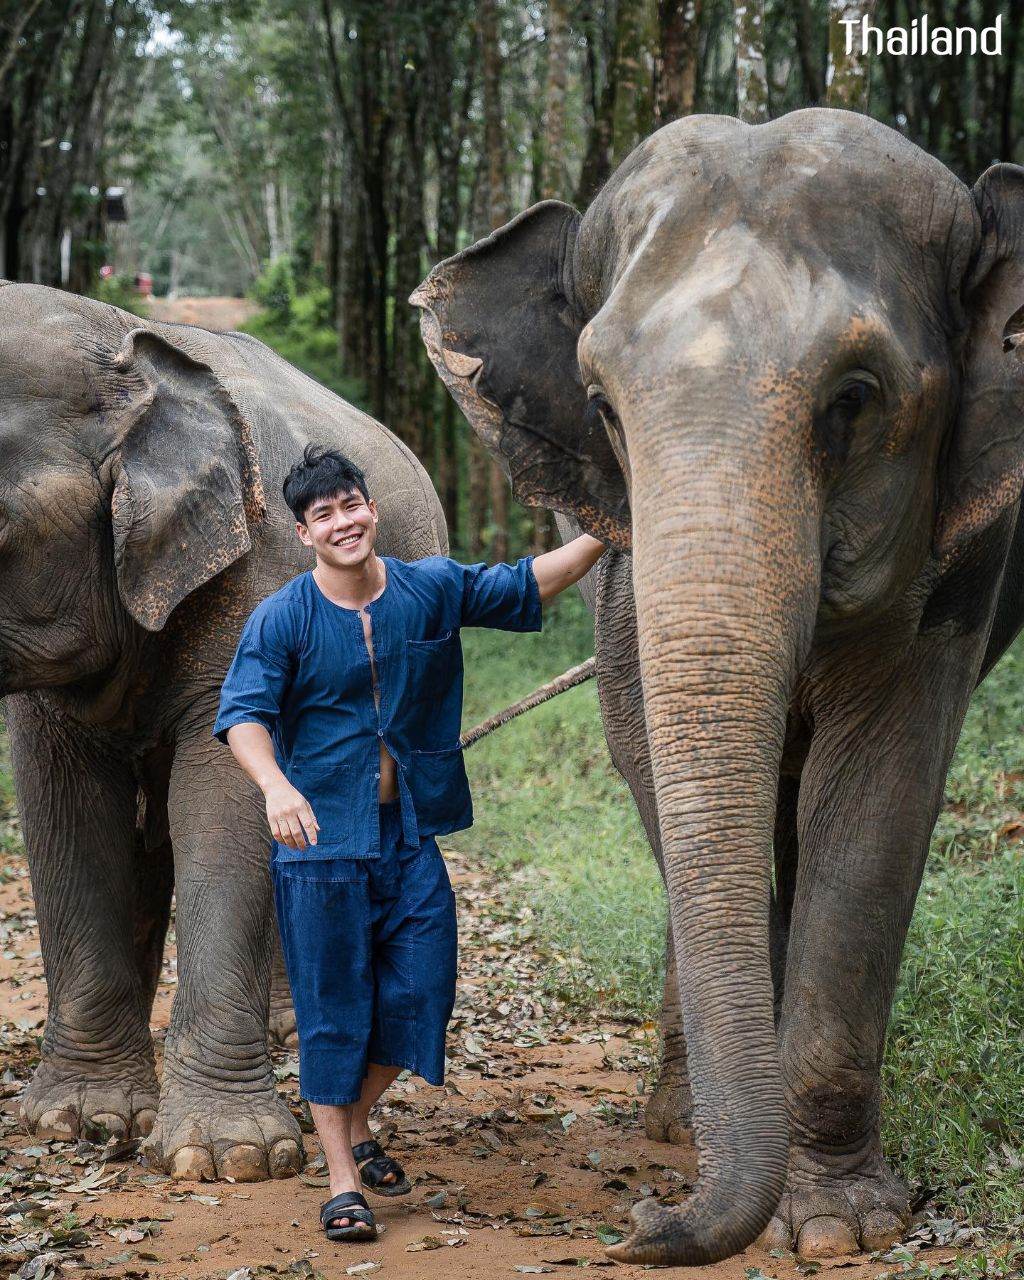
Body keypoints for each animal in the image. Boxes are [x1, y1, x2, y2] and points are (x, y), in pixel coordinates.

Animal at [0, 281, 446, 1180]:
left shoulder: (260, 573)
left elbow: (228, 800)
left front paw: (227, 1158)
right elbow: (70, 816)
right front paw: (83, 1122)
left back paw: (292, 1035)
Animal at [413, 108, 1024, 1266]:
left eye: (853, 400)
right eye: (601, 407)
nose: (642, 1223)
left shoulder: (959, 561)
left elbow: (877, 797)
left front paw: (835, 1226)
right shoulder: (620, 562)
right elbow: (651, 758)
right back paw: (677, 1117)